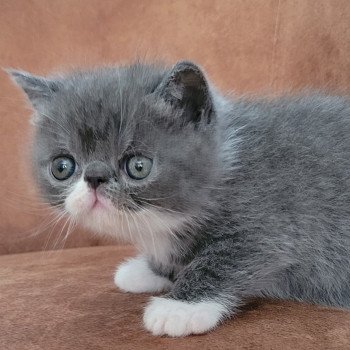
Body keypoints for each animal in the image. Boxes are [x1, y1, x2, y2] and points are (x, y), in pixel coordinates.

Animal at [8, 61, 350, 338]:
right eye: (62, 167)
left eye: (138, 166)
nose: (94, 178)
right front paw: (150, 270)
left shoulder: (270, 219)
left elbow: (227, 257)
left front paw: (180, 307)